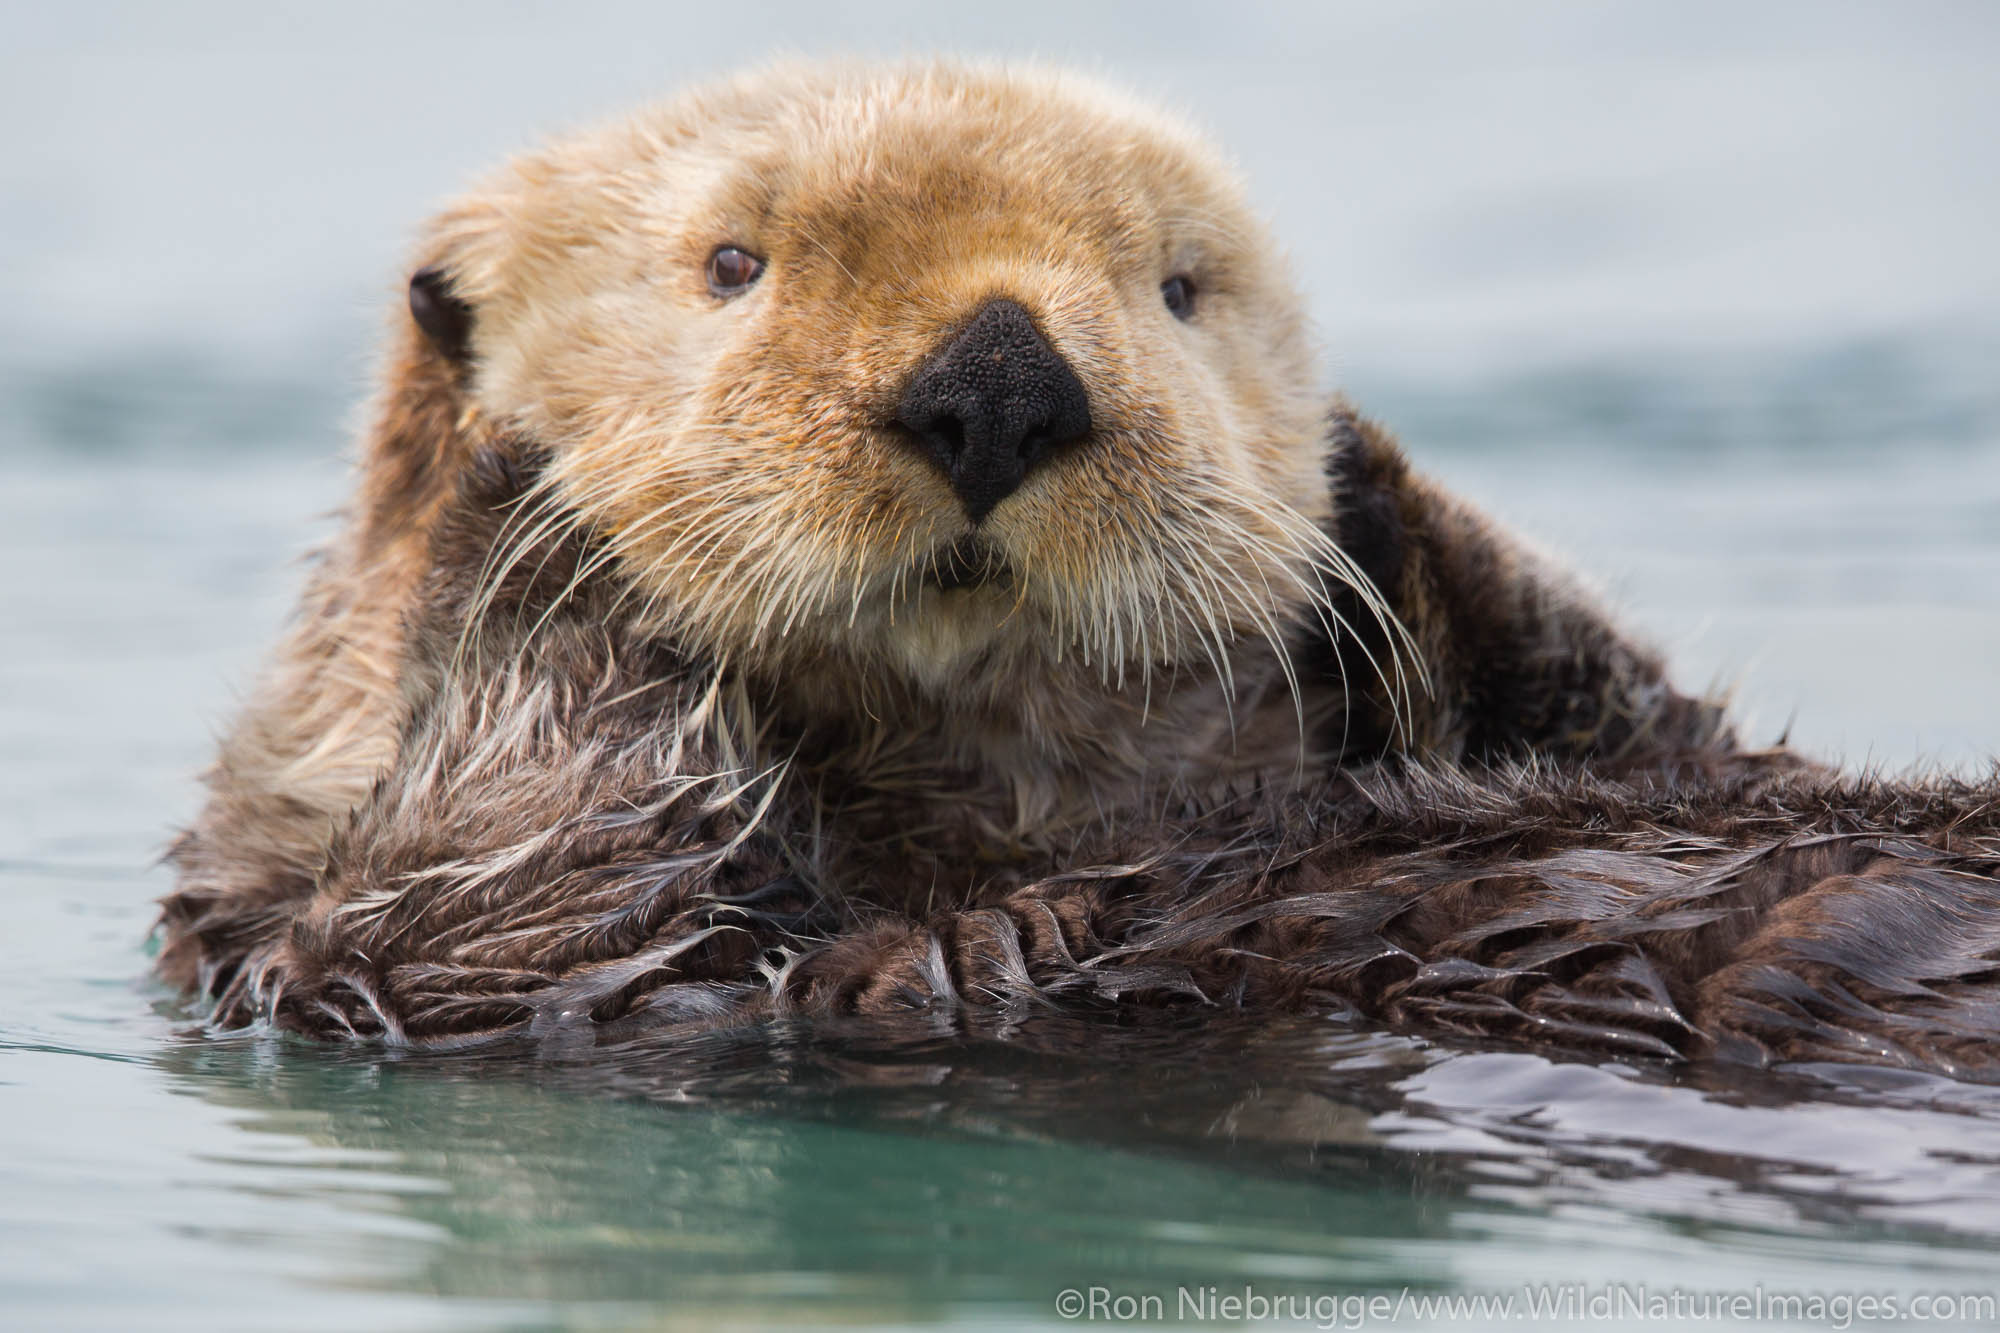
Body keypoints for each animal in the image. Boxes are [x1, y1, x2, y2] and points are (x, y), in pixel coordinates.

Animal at [156, 65, 2000, 1080]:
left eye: (1179, 287)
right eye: (732, 264)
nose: (999, 376)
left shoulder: (1660, 741)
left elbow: (1644, 708)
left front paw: (1362, 490)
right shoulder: (409, 969)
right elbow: (533, 893)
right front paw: (505, 481)